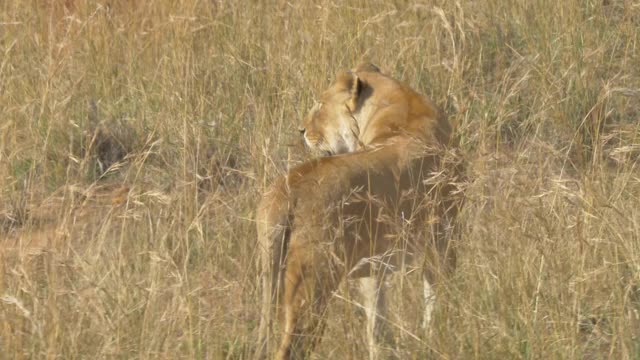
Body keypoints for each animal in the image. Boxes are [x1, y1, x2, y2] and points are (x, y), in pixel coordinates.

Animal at [258, 63, 462, 358]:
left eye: (320, 105)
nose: (301, 130)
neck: (401, 103)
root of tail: (288, 187)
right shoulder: (443, 238)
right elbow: (435, 294)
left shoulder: (375, 263)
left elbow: (378, 319)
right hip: (314, 281)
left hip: (270, 273)